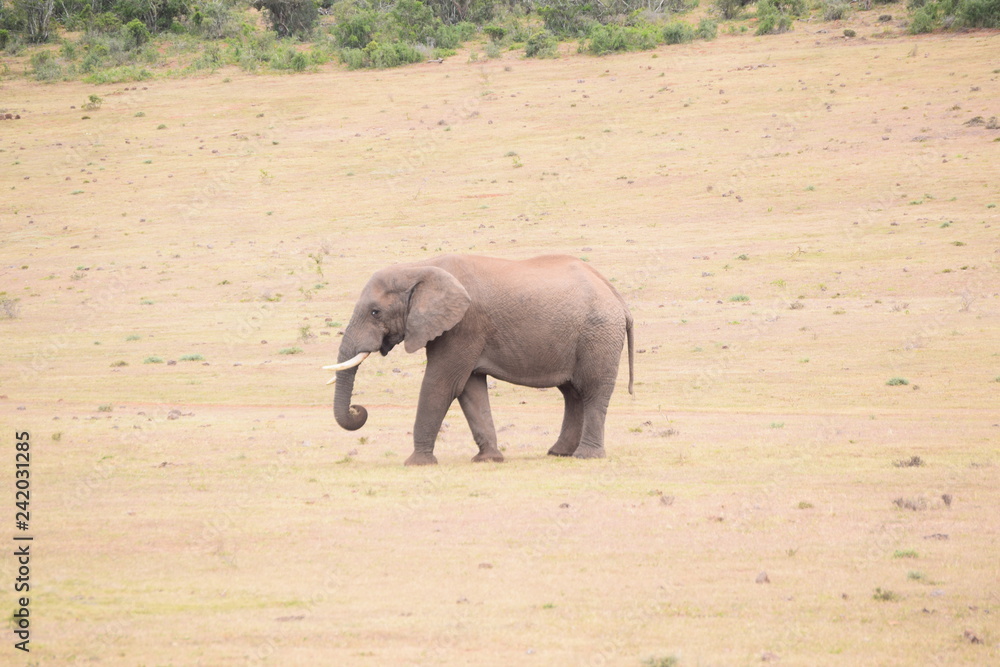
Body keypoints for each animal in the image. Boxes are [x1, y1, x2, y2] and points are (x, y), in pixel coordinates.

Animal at [324, 254, 634, 466]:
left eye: (375, 312)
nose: (357, 409)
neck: (420, 267)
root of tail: (617, 297)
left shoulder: (463, 325)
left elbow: (441, 384)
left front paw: (416, 463)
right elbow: (470, 389)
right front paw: (489, 459)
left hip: (599, 334)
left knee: (592, 391)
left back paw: (586, 457)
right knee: (572, 393)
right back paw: (559, 453)